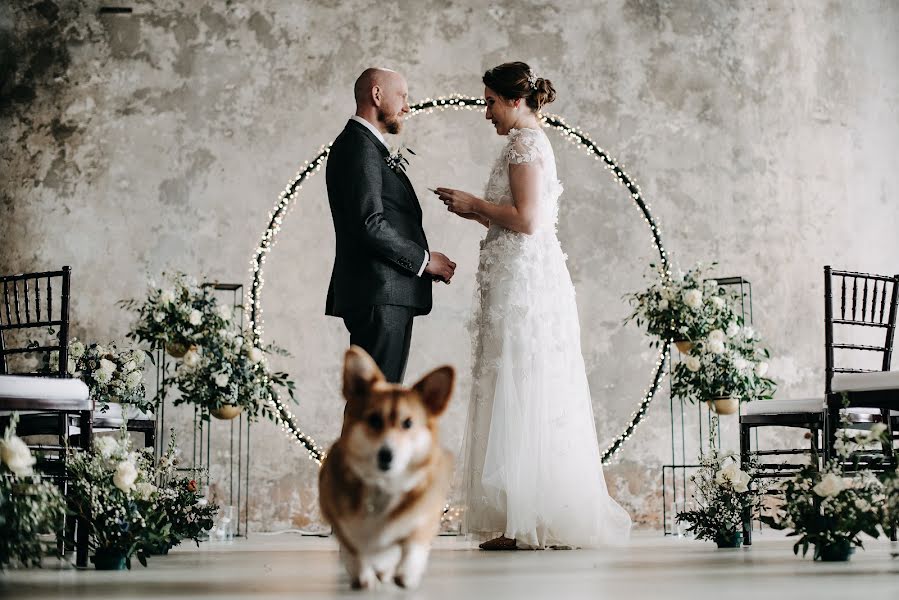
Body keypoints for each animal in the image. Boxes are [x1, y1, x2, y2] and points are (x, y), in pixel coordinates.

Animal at [318, 344, 458, 588]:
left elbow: (413, 546)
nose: (386, 455)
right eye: (374, 420)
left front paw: (406, 574)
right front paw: (363, 576)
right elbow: (355, 550)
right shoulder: (343, 522)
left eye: (408, 423)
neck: (384, 485)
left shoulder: (424, 515)